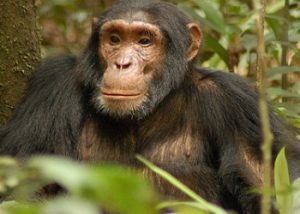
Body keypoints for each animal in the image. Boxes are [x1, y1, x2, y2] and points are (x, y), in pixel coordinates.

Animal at [0, 0, 300, 213]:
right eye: (114, 39)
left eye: (144, 41)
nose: (122, 64)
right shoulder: (52, 88)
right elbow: (24, 185)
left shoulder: (238, 105)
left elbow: (270, 183)